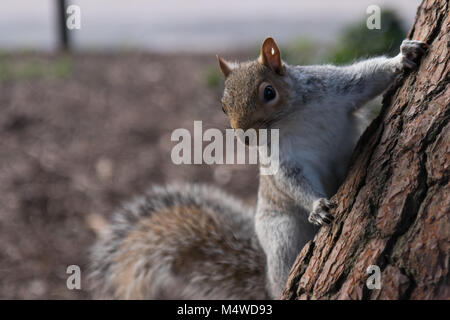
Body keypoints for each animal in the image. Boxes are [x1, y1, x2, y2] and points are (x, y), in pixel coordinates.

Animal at [89, 38, 428, 300]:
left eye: (268, 92)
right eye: (223, 106)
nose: (245, 136)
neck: (290, 118)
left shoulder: (334, 87)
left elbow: (368, 77)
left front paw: (404, 56)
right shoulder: (282, 158)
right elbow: (291, 179)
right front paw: (317, 206)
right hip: (280, 234)